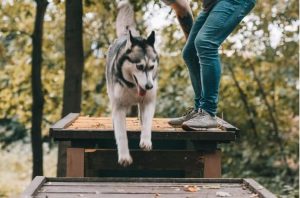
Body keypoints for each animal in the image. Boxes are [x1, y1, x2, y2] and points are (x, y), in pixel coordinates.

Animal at [106, 0, 159, 166]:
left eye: (151, 67)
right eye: (139, 66)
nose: (149, 86)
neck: (133, 88)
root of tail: (127, 34)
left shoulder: (148, 101)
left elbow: (147, 122)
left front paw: (146, 141)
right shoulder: (119, 107)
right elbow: (121, 134)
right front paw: (124, 156)